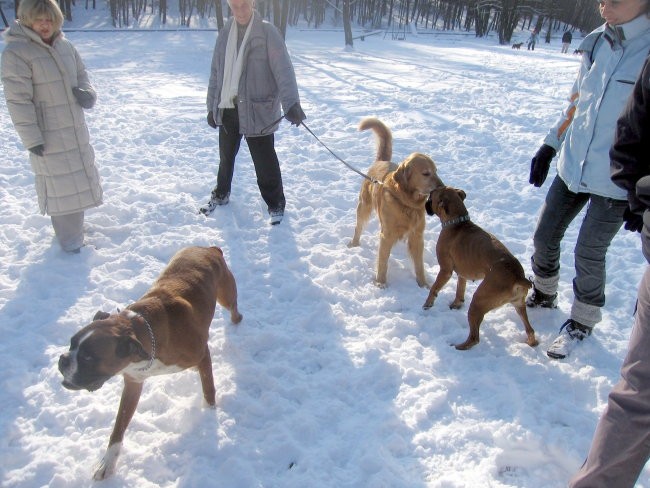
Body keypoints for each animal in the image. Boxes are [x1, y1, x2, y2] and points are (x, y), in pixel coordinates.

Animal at [57, 246, 240, 478]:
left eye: (88, 357)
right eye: (71, 344)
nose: (63, 360)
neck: (143, 333)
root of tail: (208, 248)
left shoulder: (202, 355)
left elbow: (208, 389)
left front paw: (209, 415)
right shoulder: (133, 384)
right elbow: (118, 426)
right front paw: (108, 462)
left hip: (226, 295)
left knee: (233, 309)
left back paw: (237, 320)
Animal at [346, 117, 442, 288]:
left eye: (436, 171)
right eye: (426, 173)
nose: (442, 186)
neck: (407, 203)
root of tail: (382, 161)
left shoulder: (417, 236)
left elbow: (419, 265)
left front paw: (423, 285)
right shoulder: (387, 235)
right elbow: (383, 262)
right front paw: (380, 283)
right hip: (364, 206)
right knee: (358, 227)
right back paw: (354, 244)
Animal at [420, 187, 536, 350]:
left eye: (431, 197)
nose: (425, 201)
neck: (458, 222)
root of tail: (517, 276)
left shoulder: (445, 270)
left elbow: (434, 288)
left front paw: (427, 304)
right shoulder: (462, 274)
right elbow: (460, 289)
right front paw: (456, 304)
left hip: (478, 302)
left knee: (475, 338)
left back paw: (458, 347)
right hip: (519, 304)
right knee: (530, 329)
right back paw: (531, 342)